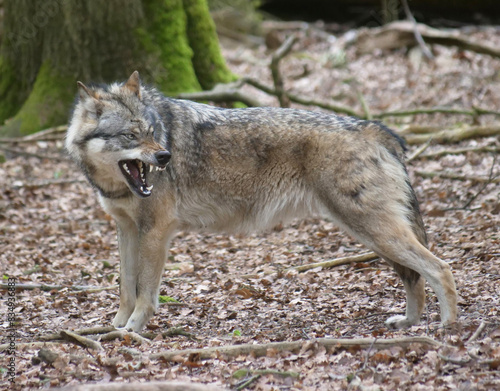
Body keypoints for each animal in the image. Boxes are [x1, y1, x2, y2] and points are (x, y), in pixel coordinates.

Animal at [65, 72, 458, 332]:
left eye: (151, 131)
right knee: (415, 277)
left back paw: (448, 327)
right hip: (372, 236)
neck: (115, 184)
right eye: (131, 136)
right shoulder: (127, 228)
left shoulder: (156, 232)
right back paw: (409, 322)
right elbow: (125, 286)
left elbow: (145, 291)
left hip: (374, 232)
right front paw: (114, 327)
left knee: (440, 268)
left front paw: (133, 330)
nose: (164, 156)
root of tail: (376, 128)